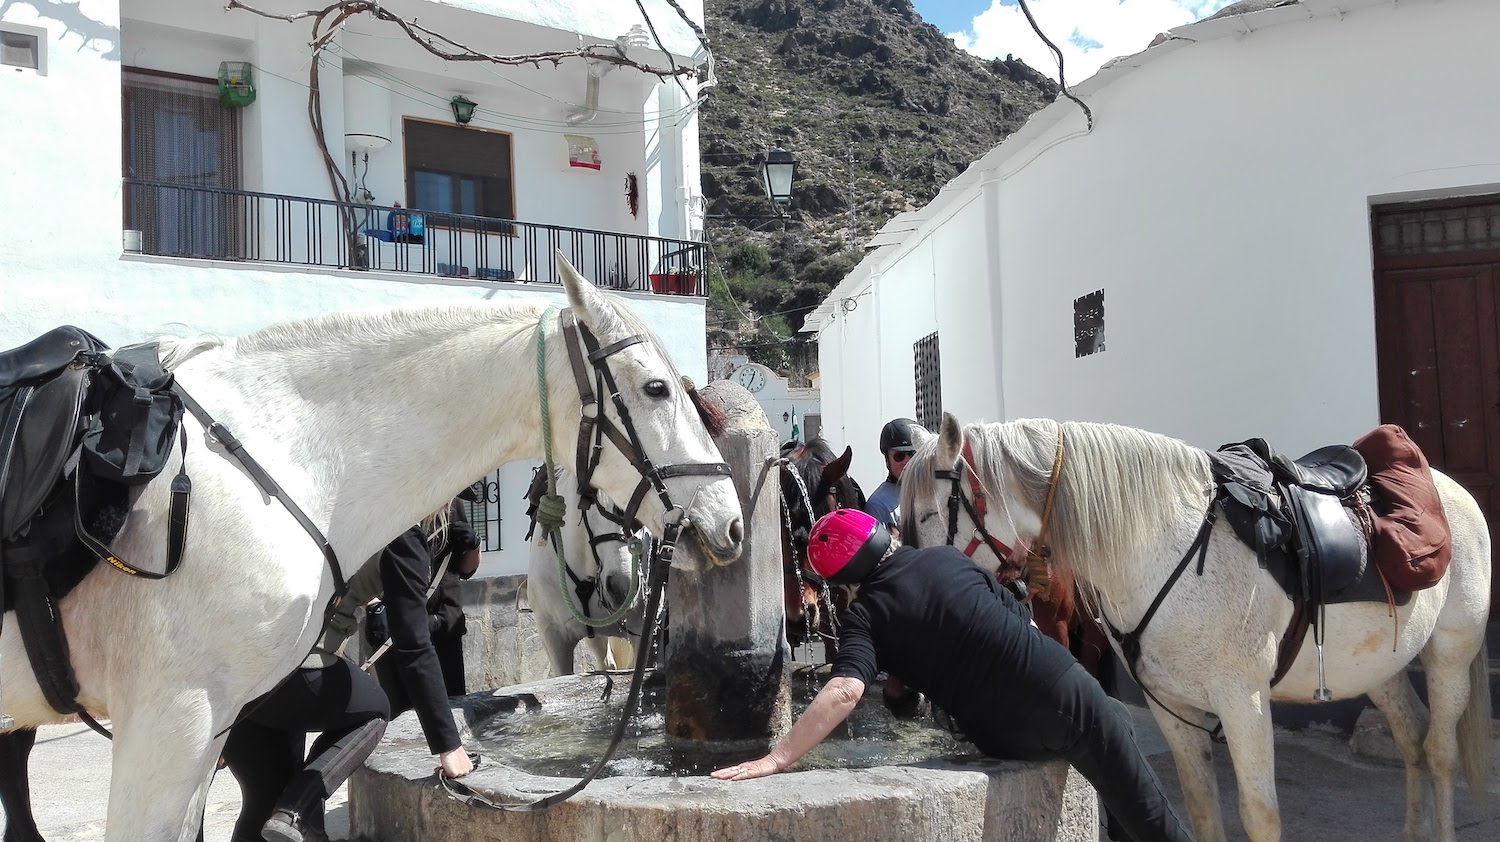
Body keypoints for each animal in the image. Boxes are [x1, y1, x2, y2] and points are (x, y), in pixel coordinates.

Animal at [900, 412, 1491, 842]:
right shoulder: (1174, 708)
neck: (1160, 545)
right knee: (1413, 739)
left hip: (1450, 655)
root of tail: (1452, 489)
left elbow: (1260, 815)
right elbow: (1204, 810)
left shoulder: (1244, 702)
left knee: (1440, 752)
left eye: (929, 514)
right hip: (1378, 667)